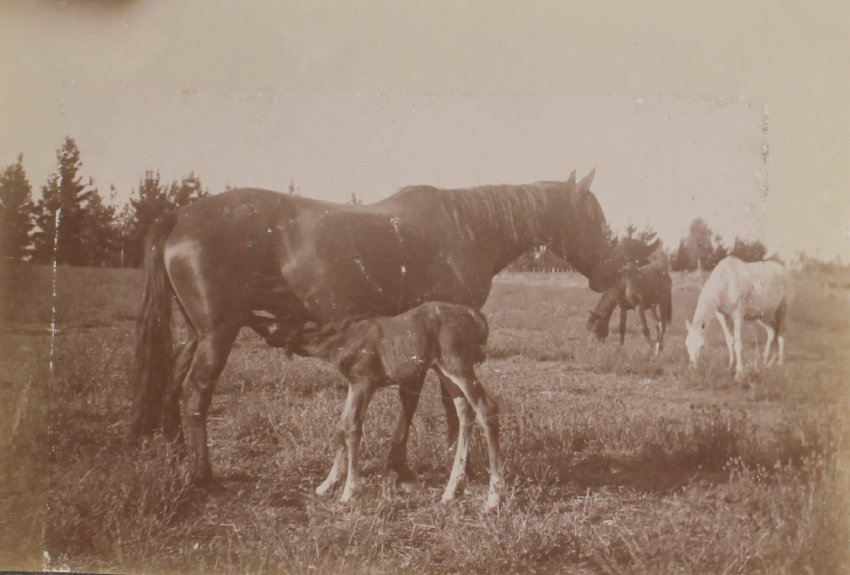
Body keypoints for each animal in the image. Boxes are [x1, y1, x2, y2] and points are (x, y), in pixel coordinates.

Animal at [131, 169, 616, 484]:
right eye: (593, 218)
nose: (608, 272)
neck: (467, 228)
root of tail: (178, 216)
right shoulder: (444, 338)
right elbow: (447, 400)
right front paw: (458, 462)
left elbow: (411, 396)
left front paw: (400, 462)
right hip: (218, 334)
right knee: (195, 392)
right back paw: (202, 473)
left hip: (196, 334)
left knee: (173, 380)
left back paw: (175, 451)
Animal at [291, 302, 503, 510]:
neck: (343, 337)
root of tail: (475, 316)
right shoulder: (354, 383)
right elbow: (341, 426)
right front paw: (326, 485)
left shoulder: (364, 381)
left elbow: (352, 427)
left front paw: (348, 492)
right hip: (444, 371)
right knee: (465, 410)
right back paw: (450, 493)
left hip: (458, 366)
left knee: (487, 408)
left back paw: (492, 499)